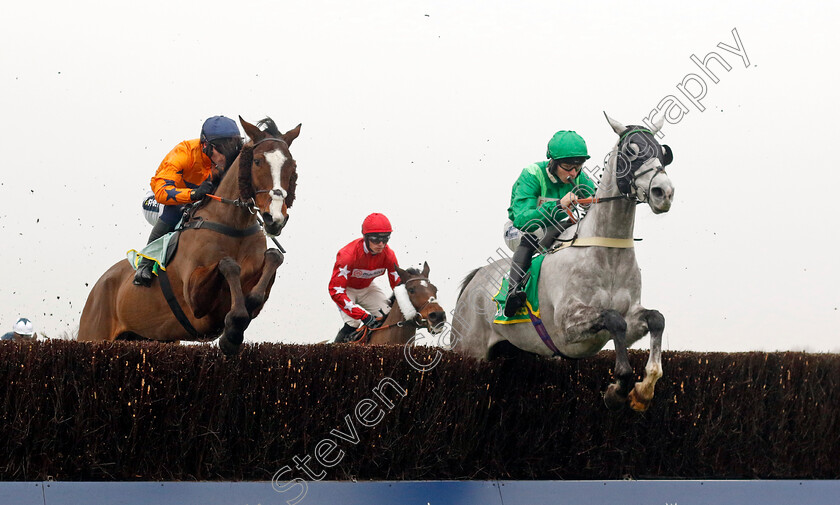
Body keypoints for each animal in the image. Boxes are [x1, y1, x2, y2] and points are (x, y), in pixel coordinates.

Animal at [79, 116, 302, 356]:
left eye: (291, 165)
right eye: (258, 161)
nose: (275, 218)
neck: (233, 225)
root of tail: (99, 284)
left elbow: (273, 259)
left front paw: (240, 318)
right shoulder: (195, 300)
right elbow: (228, 264)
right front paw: (231, 333)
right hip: (93, 333)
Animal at [452, 113, 676, 410]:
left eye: (663, 152)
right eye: (632, 151)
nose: (664, 192)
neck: (607, 255)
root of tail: (474, 281)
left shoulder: (630, 318)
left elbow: (655, 319)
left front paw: (643, 390)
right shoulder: (567, 324)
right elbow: (614, 319)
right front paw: (617, 389)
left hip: (516, 352)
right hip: (469, 351)